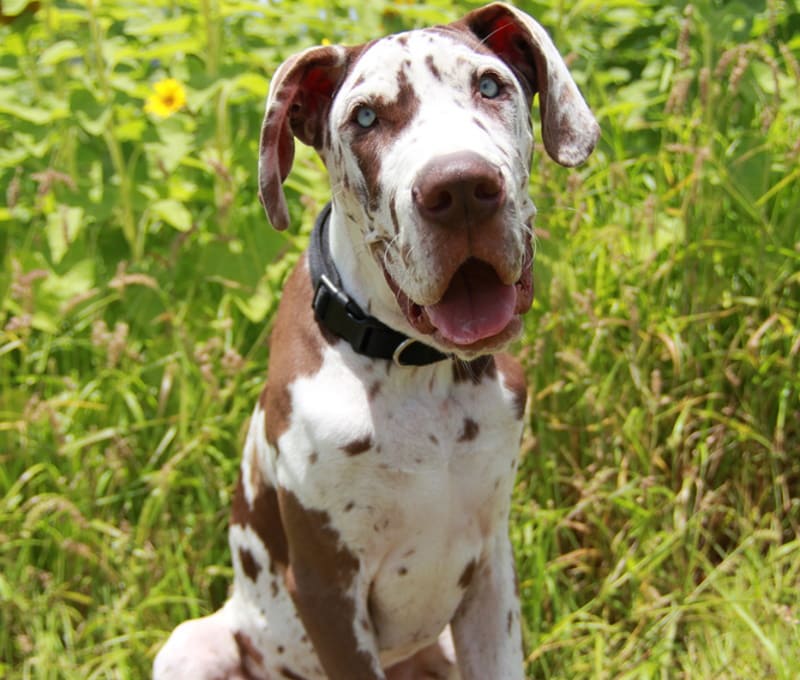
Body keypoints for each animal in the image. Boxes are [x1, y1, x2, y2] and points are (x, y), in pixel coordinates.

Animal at [153, 2, 596, 676]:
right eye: (364, 118)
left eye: (490, 86)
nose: (460, 189)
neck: (420, 374)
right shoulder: (326, 590)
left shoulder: (491, 569)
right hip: (190, 643)